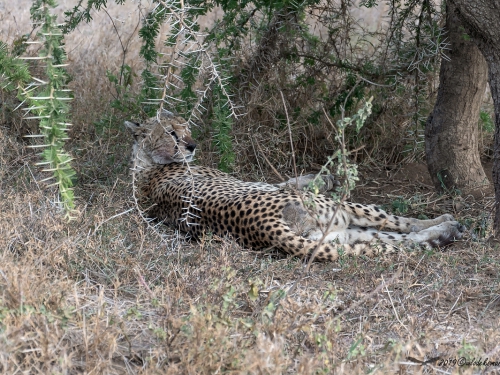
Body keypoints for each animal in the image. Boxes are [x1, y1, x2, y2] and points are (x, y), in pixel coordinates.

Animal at [126, 110, 464, 262]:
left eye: (186, 128)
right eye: (171, 132)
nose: (193, 145)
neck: (145, 164)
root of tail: (264, 227)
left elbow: (287, 178)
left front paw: (322, 176)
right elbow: (290, 181)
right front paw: (325, 177)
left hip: (337, 235)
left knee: (392, 242)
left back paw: (444, 233)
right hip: (341, 212)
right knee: (402, 226)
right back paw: (447, 224)